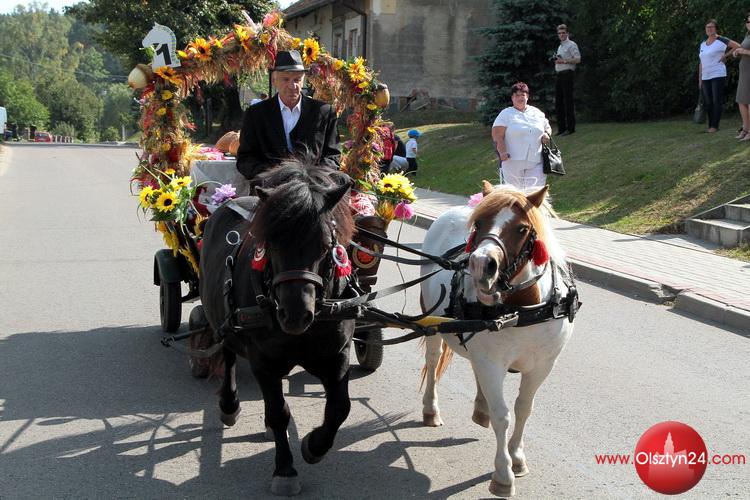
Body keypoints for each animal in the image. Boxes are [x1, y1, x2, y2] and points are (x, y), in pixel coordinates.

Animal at [198, 159, 356, 496]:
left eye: (326, 244)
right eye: (270, 242)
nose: (295, 315)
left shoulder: (336, 355)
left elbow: (340, 407)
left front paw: (314, 445)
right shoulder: (264, 361)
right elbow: (278, 411)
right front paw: (285, 469)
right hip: (222, 322)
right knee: (228, 356)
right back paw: (229, 405)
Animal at [419, 181, 578, 498]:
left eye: (521, 228)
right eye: (478, 224)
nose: (481, 265)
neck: (522, 310)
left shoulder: (542, 366)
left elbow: (523, 408)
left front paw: (516, 456)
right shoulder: (492, 364)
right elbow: (503, 415)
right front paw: (503, 473)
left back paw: (480, 408)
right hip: (434, 330)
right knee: (432, 362)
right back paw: (431, 409)